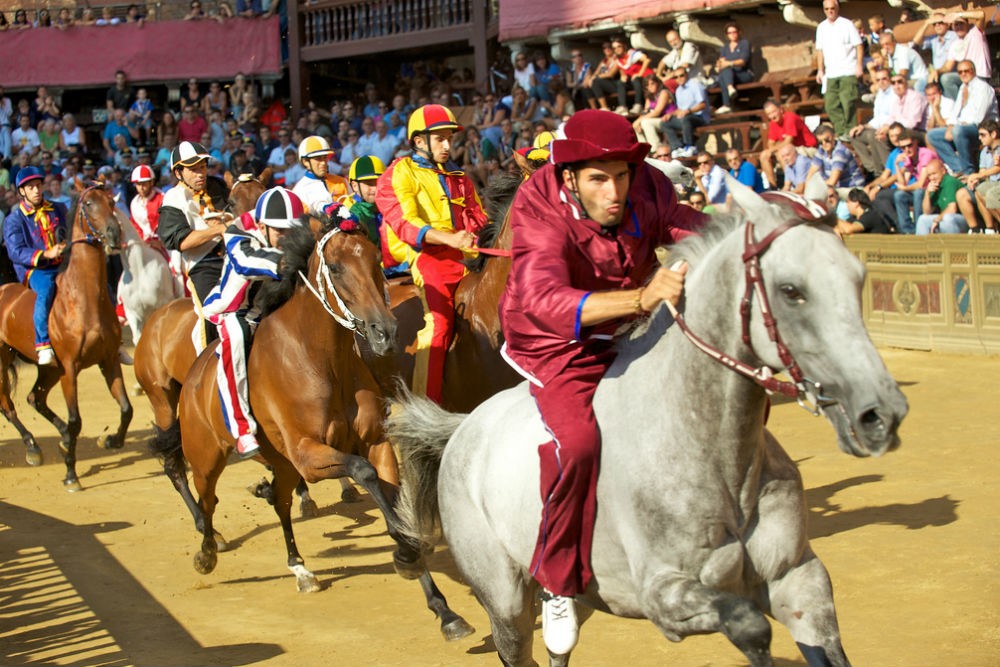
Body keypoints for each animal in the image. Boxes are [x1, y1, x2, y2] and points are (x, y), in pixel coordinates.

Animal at [0, 183, 133, 490]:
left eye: (111, 202)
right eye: (88, 204)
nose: (113, 234)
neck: (84, 299)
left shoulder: (108, 361)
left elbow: (126, 409)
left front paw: (110, 440)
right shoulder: (69, 369)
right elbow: (76, 420)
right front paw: (71, 473)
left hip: (48, 369)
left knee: (34, 399)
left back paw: (59, 439)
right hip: (5, 363)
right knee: (8, 406)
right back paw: (33, 446)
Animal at [175, 217, 472, 640]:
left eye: (376, 259)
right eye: (335, 267)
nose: (384, 331)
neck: (319, 359)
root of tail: (192, 376)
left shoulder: (373, 443)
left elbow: (390, 495)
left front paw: (441, 605)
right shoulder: (309, 454)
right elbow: (363, 473)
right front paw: (407, 553)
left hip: (281, 462)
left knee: (280, 501)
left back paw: (300, 567)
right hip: (206, 457)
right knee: (208, 500)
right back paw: (207, 553)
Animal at [386, 177, 912, 667]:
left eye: (858, 277)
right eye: (790, 290)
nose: (879, 413)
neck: (712, 453)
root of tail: (462, 429)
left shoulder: (798, 577)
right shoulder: (663, 594)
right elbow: (750, 627)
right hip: (504, 596)